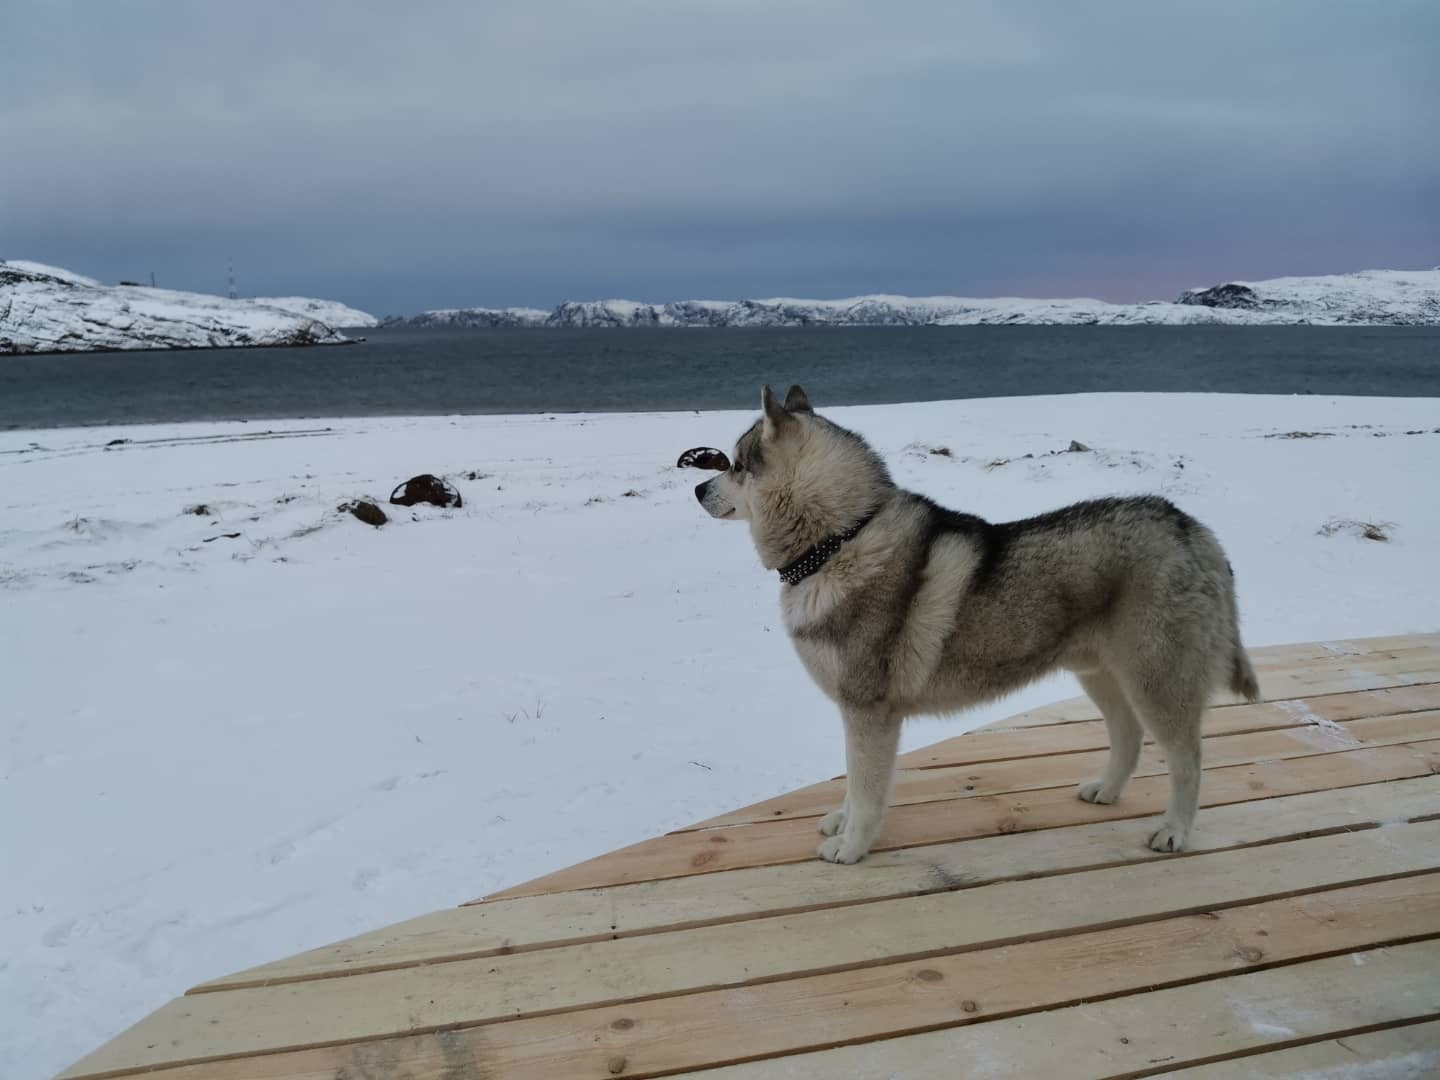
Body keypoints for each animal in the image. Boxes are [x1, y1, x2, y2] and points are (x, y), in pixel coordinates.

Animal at [691, 385, 1255, 869]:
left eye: (735, 465)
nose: (697, 486)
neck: (840, 539)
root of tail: (1193, 529)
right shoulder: (857, 712)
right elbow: (852, 781)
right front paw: (842, 822)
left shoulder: (869, 712)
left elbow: (867, 789)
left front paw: (852, 847)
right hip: (1101, 673)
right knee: (1129, 735)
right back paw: (1107, 791)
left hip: (1156, 681)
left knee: (1188, 759)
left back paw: (1176, 831)